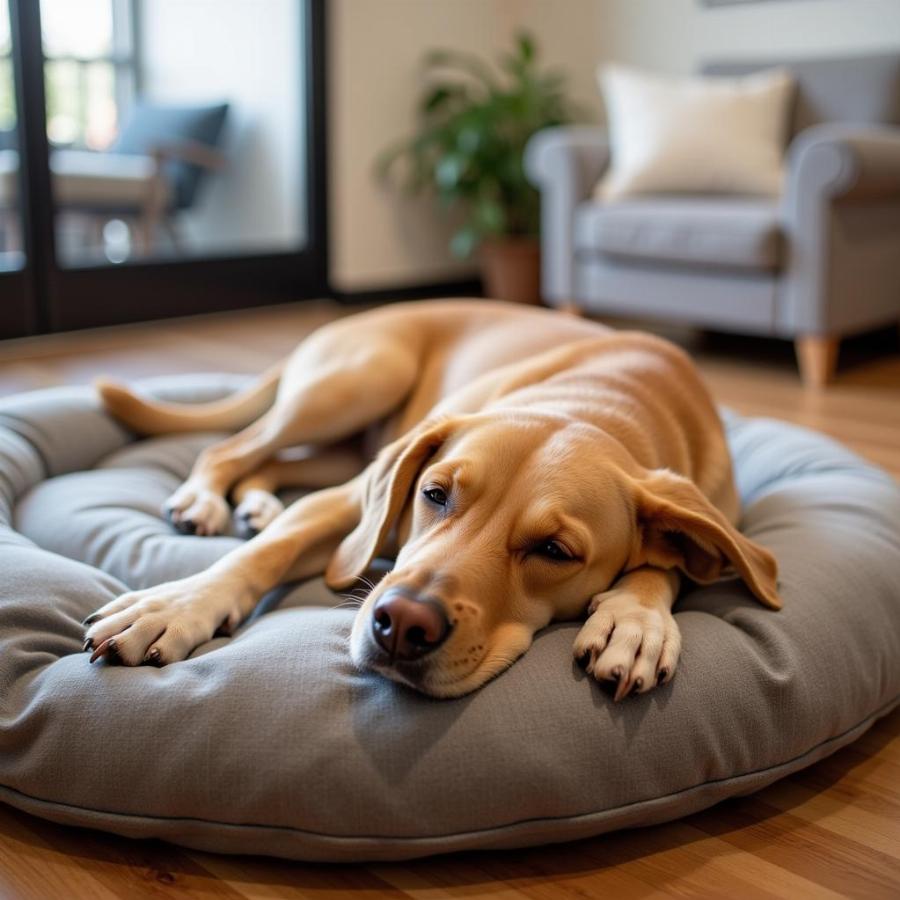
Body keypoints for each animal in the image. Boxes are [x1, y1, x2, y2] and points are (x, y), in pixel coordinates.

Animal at [81, 298, 776, 700]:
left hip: (353, 437)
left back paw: (254, 503)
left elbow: (666, 564)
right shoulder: (353, 505)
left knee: (270, 462)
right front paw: (174, 606)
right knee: (230, 447)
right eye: (434, 494)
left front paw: (636, 622)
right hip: (358, 383)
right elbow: (261, 555)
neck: (603, 404)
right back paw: (204, 500)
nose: (401, 625)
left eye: (555, 550)